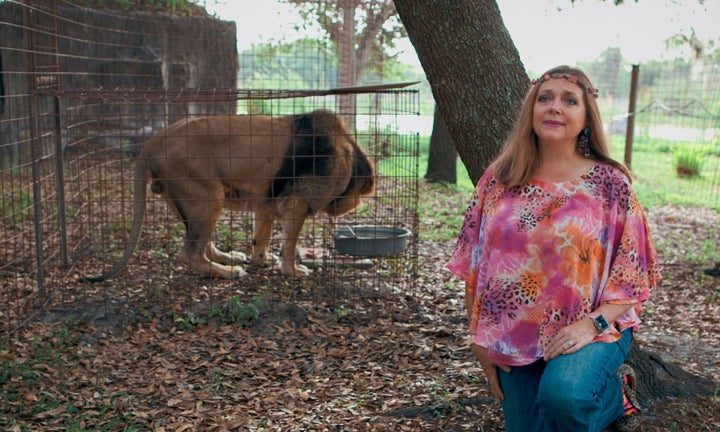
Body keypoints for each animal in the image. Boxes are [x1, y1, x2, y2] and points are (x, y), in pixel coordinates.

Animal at [83, 109, 376, 282]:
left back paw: (229, 257)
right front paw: (292, 270)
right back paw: (229, 272)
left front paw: (262, 259)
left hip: (188, 200)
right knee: (190, 254)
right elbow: (289, 244)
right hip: (209, 196)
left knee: (202, 244)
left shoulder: (265, 201)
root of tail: (153, 140)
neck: (348, 154)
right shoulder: (298, 204)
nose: (355, 203)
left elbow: (262, 235)